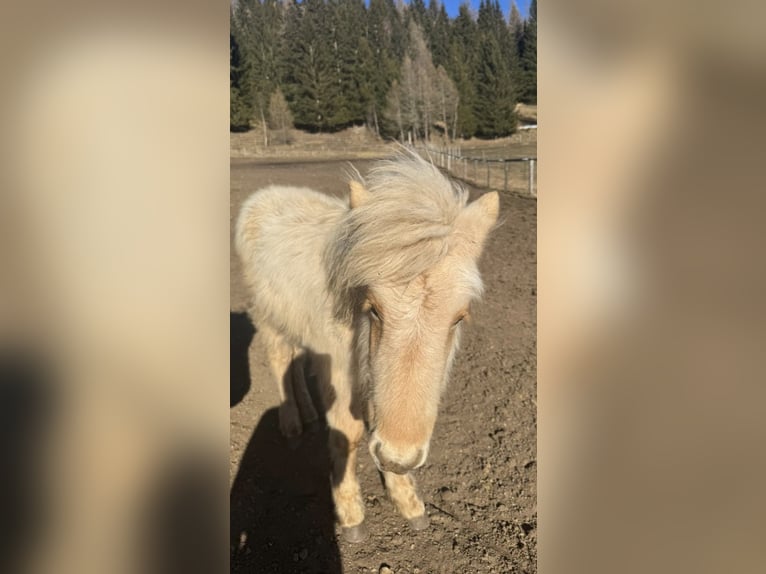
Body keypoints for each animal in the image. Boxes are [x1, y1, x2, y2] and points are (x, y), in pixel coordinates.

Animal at [237, 151, 500, 544]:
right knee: (280, 357)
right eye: (374, 308)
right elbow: (349, 433)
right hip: (269, 317)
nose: (399, 458)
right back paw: (293, 423)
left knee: (297, 361)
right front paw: (350, 514)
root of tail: (262, 197)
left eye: (459, 317)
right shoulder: (340, 369)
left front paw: (407, 498)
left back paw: (310, 414)